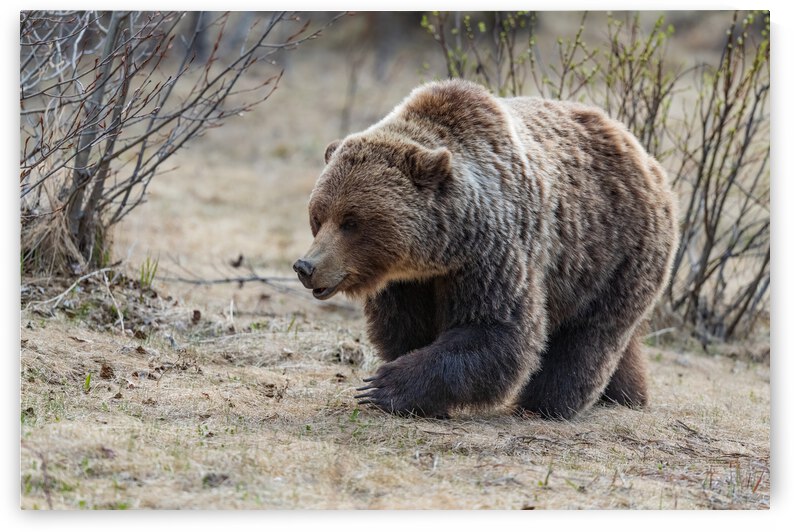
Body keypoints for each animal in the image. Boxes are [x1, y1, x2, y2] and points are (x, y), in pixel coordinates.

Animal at [293, 79, 678, 420]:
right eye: (318, 216)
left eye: (351, 221)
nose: (306, 266)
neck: (437, 253)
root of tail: (646, 156)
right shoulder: (407, 283)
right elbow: (405, 327)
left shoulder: (493, 252)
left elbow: (497, 329)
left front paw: (385, 386)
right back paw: (627, 395)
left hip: (614, 252)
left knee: (589, 335)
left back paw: (547, 404)